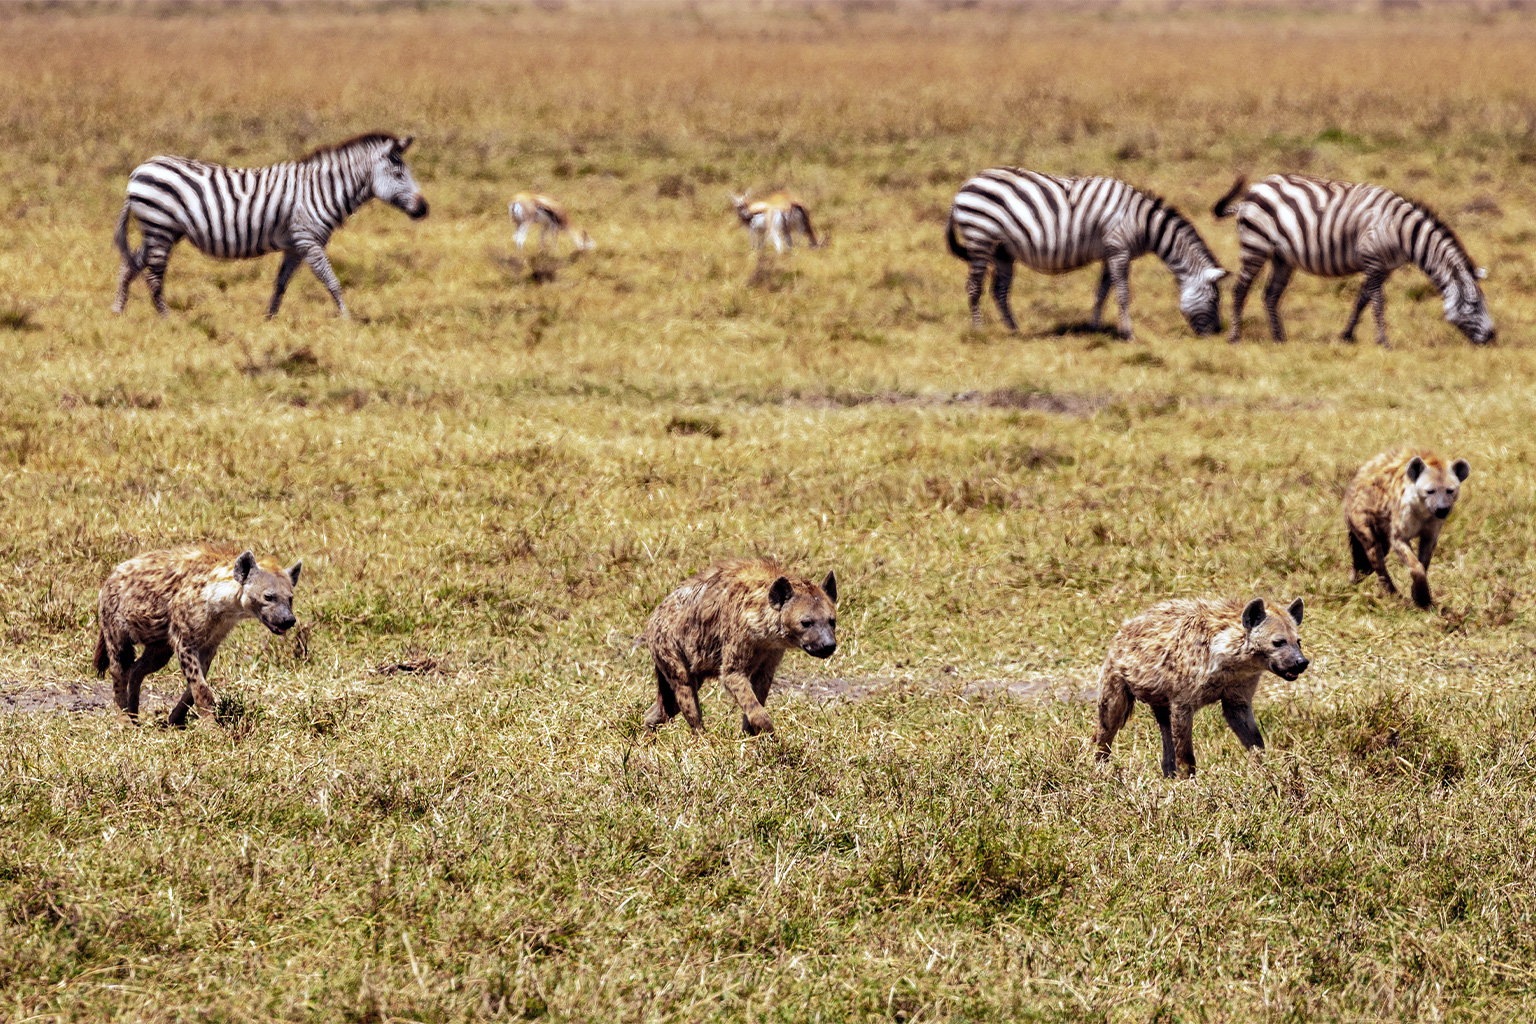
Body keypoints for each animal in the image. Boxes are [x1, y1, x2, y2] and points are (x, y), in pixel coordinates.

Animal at [112, 134, 430, 316]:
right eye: (399, 174)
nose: (424, 209)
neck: (322, 190)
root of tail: (138, 170)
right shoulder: (308, 240)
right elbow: (332, 281)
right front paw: (346, 319)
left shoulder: (295, 245)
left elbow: (280, 284)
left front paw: (270, 319)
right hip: (160, 227)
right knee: (153, 276)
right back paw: (166, 319)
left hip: (161, 231)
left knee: (131, 264)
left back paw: (118, 312)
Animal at [946, 168, 1222, 340]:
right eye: (1213, 300)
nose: (1217, 334)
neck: (1144, 223)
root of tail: (966, 184)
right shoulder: (1119, 249)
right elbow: (1123, 294)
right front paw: (1129, 333)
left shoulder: (1110, 253)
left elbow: (1102, 293)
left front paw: (1095, 328)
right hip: (980, 237)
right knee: (974, 287)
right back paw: (978, 330)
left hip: (1002, 250)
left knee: (999, 291)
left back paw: (1014, 330)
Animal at [1210, 175, 1486, 348]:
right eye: (1474, 305)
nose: (1491, 337)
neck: (1400, 230)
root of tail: (1251, 192)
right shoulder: (1373, 260)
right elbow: (1378, 303)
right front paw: (1384, 341)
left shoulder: (1383, 267)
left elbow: (1362, 300)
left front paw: (1347, 335)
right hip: (1255, 246)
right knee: (1240, 289)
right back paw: (1235, 337)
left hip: (1282, 257)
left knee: (1270, 295)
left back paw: (1279, 338)